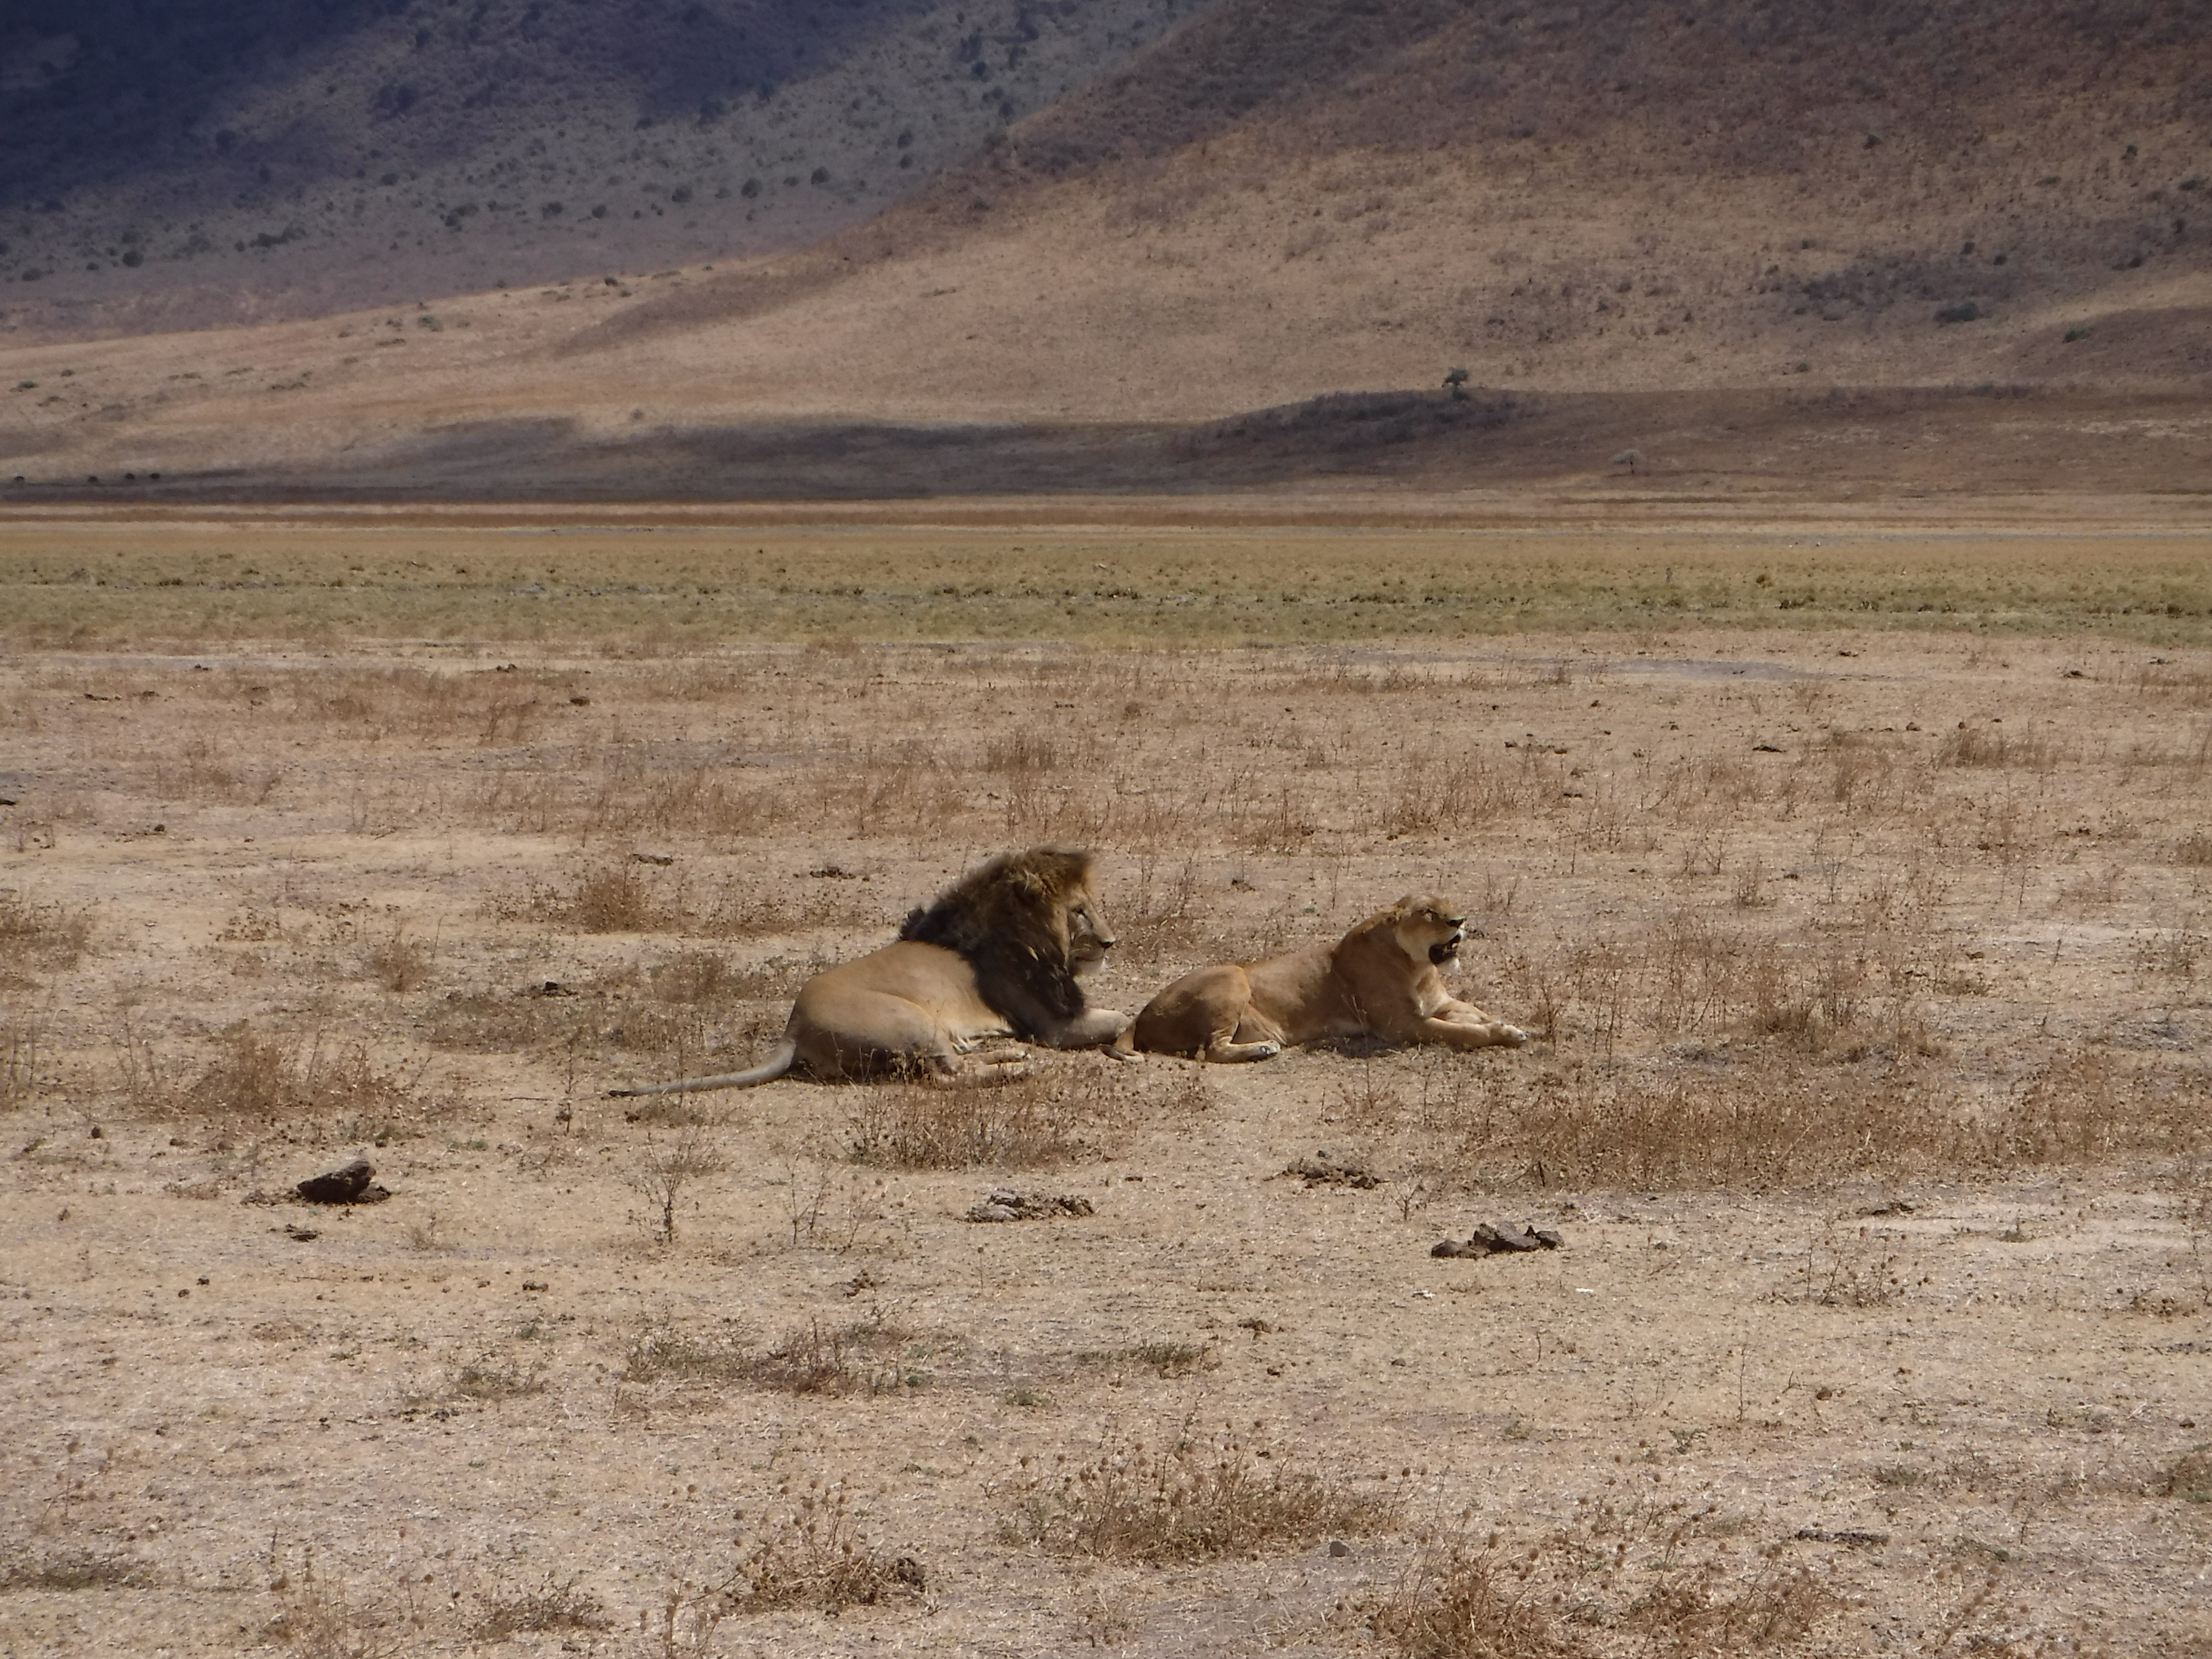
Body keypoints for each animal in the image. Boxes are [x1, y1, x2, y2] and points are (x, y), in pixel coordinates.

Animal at [608, 847, 1128, 1096]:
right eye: (1080, 912)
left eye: (1095, 906)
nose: (1110, 942)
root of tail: (795, 1026)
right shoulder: (1054, 1027)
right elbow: (1122, 1017)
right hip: (913, 1020)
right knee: (945, 1075)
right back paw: (1016, 1071)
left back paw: (1008, 1057)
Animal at [1111, 894, 1526, 1063]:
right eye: (1428, 912)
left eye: (1449, 906)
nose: (1460, 921)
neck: (1420, 967)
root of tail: (1141, 1015)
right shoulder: (1402, 1025)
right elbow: (1462, 1032)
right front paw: (1503, 1035)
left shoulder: (1441, 1004)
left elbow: (1475, 1014)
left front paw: (1507, 1025)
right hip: (1232, 976)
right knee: (1208, 1050)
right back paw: (1263, 1049)